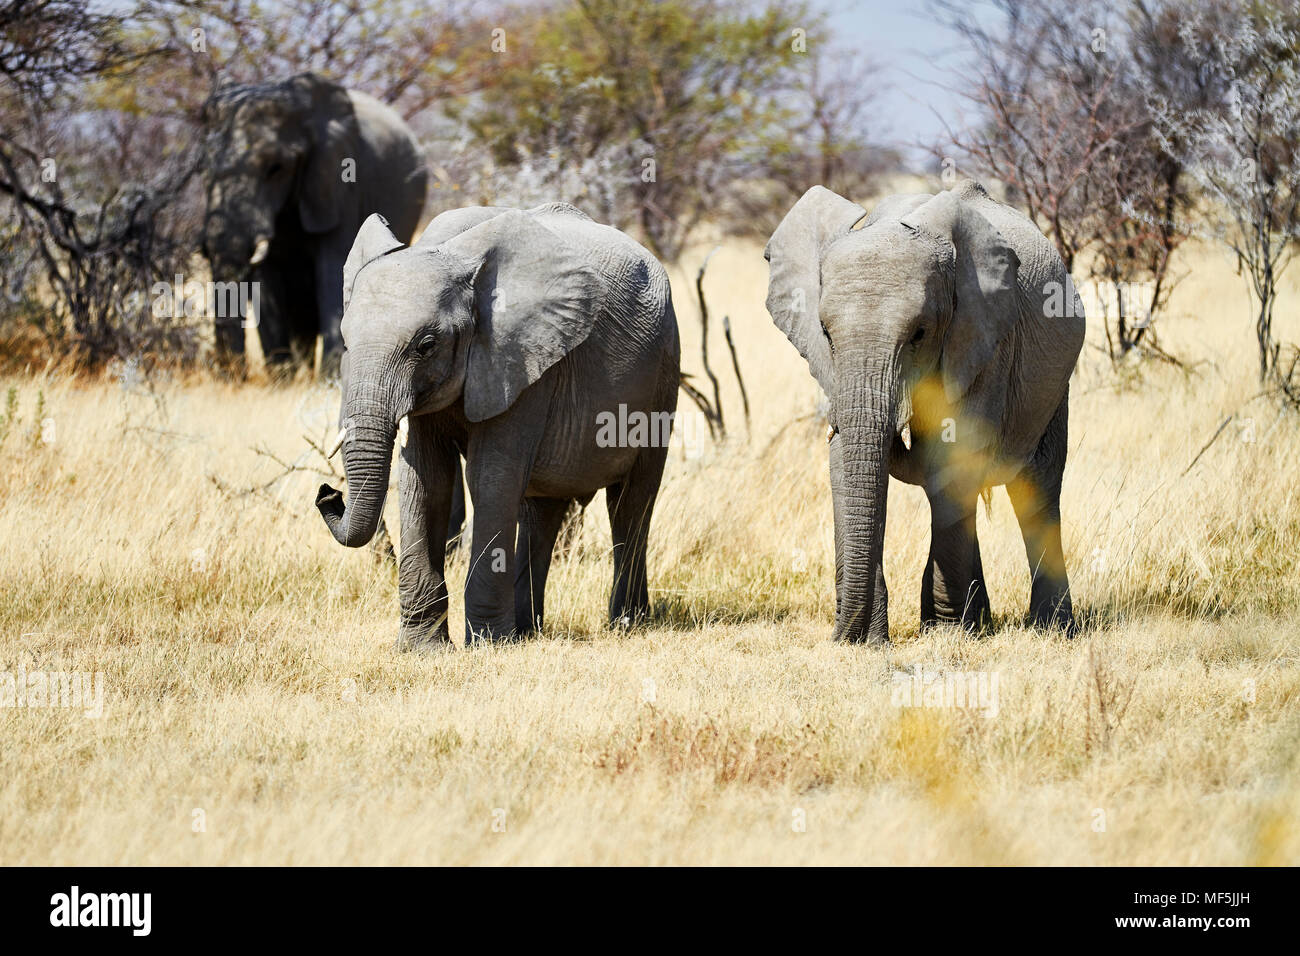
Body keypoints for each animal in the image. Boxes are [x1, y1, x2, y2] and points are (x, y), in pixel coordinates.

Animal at [202, 71, 426, 366]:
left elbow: (333, 269)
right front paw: (282, 375)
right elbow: (266, 284)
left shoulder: (340, 186)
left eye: (276, 168)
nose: (232, 374)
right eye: (206, 165)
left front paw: (331, 374)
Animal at [314, 201, 681, 650]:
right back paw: (527, 631)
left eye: (426, 345)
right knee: (543, 508)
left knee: (631, 500)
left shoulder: (524, 363)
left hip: (664, 369)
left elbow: (490, 479)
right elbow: (427, 480)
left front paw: (486, 646)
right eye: (346, 343)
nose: (328, 494)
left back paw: (626, 624)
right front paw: (423, 650)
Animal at [759, 178, 1086, 642]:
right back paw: (981, 621)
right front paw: (874, 639)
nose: (839, 636)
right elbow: (844, 462)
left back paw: (1050, 629)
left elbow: (952, 460)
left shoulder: (986, 342)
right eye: (825, 331)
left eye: (920, 333)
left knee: (1036, 488)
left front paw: (945, 634)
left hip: (1054, 383)